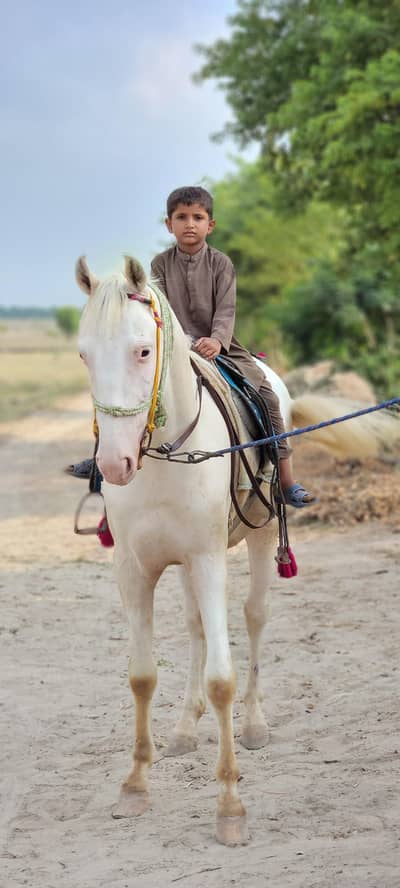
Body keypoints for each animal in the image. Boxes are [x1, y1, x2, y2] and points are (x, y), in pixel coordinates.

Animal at [75, 255, 399, 845]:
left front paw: (229, 807)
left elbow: (223, 678)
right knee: (198, 630)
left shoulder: (208, 560)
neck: (166, 456)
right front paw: (135, 786)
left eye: (143, 351)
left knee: (253, 617)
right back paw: (185, 728)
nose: (113, 464)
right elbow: (142, 674)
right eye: (84, 354)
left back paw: (253, 725)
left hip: (261, 534)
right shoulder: (135, 569)